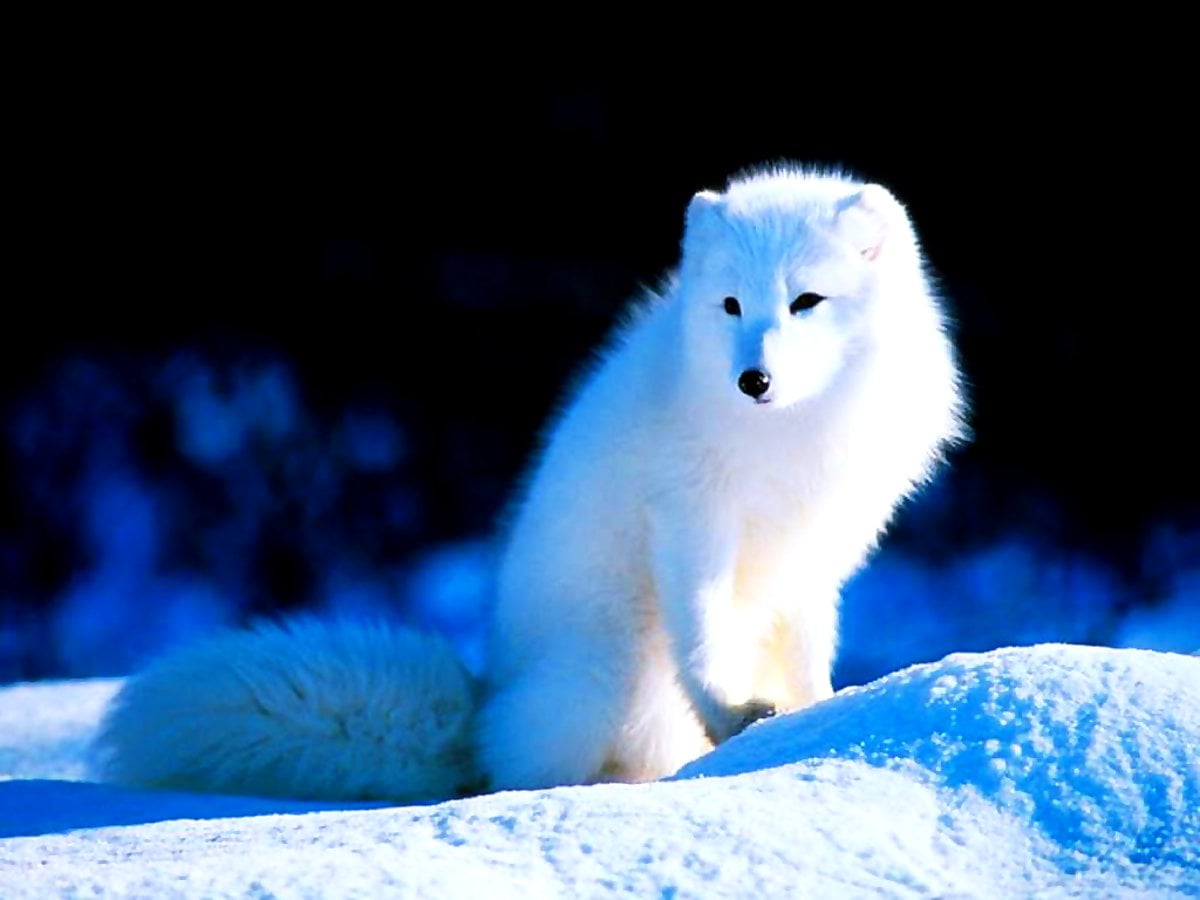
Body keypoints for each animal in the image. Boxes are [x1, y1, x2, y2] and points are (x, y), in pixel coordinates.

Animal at [96, 165, 965, 801]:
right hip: (607, 666)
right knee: (516, 772)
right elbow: (703, 637)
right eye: (730, 305)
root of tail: (482, 703)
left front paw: (822, 715)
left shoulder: (814, 550)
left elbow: (810, 651)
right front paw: (736, 719)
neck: (790, 436)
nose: (753, 379)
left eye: (806, 300)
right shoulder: (690, 522)